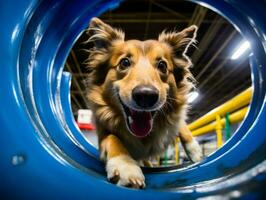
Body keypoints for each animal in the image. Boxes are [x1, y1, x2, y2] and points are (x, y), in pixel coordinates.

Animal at [85, 17, 202, 189]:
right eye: (124, 62)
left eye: (162, 65)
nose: (146, 95)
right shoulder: (103, 127)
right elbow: (113, 139)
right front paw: (125, 166)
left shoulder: (175, 117)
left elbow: (183, 126)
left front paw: (195, 151)